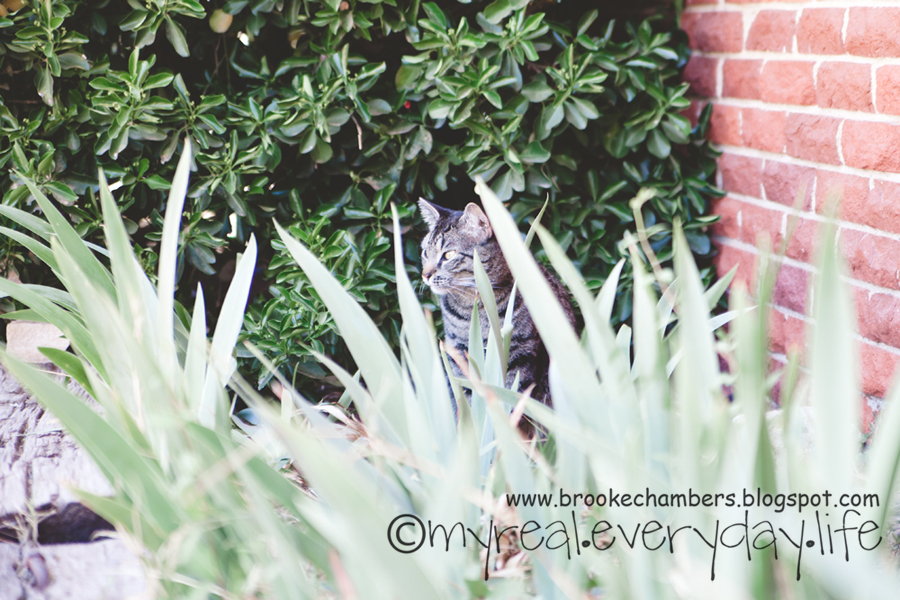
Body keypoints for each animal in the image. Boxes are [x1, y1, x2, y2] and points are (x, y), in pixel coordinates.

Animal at [418, 199, 576, 429]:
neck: (475, 307)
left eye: (448, 255)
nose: (425, 275)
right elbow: (470, 399)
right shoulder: (460, 353)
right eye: (425, 253)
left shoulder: (522, 355)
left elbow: (511, 402)